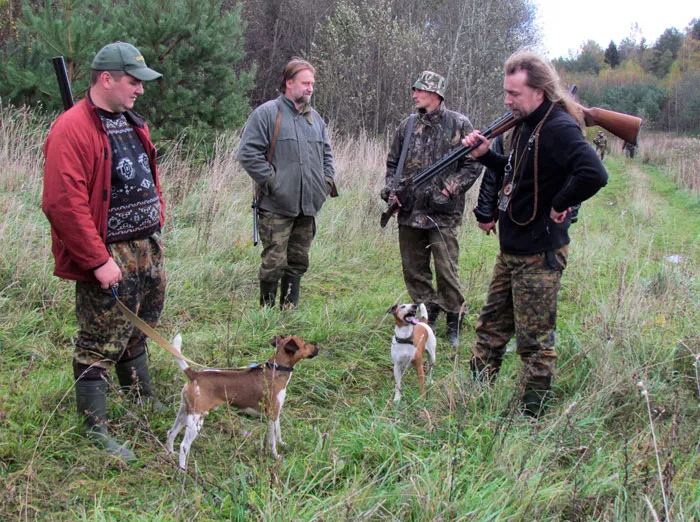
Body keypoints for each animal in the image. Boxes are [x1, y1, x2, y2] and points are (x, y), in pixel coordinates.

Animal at [165, 334, 318, 468]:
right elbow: (272, 440)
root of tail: (195, 375)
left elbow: (278, 433)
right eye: (305, 344)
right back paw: (182, 470)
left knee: (171, 432)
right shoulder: (271, 415)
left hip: (185, 412)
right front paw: (275, 456)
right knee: (184, 446)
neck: (277, 369)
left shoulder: (276, 414)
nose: (318, 347)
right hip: (196, 419)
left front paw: (282, 444)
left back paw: (170, 454)